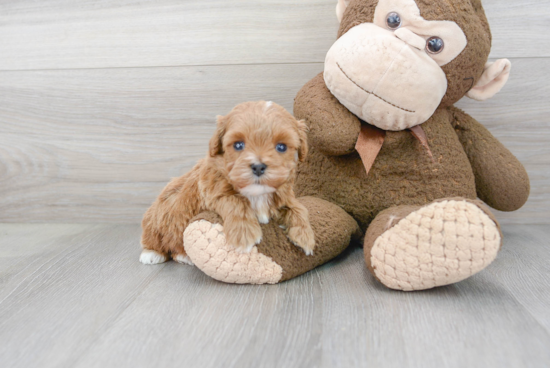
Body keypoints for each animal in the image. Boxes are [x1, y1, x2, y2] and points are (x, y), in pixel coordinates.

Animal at [140, 102, 316, 266]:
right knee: (154, 239)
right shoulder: (212, 191)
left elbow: (298, 208)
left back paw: (184, 256)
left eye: (281, 147)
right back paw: (152, 254)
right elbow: (236, 201)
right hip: (156, 220)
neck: (256, 193)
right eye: (238, 145)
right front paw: (244, 235)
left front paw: (305, 236)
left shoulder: (284, 195)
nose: (258, 167)